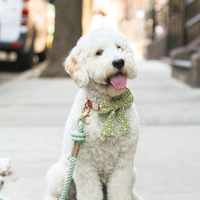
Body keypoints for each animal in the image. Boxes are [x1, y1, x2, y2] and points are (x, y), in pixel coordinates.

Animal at [45, 28, 142, 200]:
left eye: (119, 47)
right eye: (98, 52)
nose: (119, 61)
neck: (107, 106)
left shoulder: (125, 161)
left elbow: (121, 189)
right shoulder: (84, 163)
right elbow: (89, 191)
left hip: (133, 173)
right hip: (61, 175)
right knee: (56, 193)